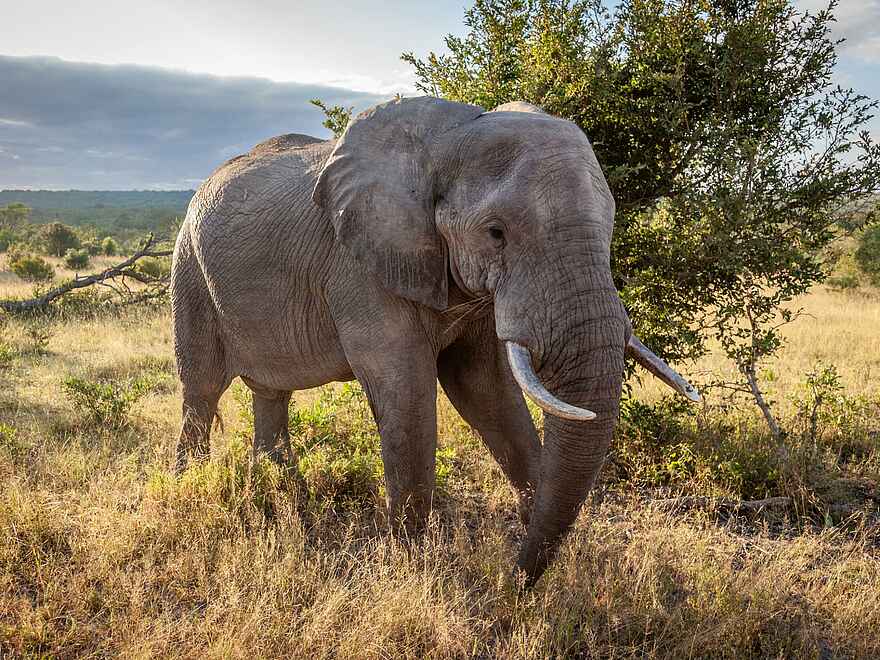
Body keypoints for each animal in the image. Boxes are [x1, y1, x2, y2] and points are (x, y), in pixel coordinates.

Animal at [170, 96, 700, 585]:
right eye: (496, 233)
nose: (512, 579)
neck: (448, 140)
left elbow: (484, 387)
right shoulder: (360, 267)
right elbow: (407, 392)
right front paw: (412, 569)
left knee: (270, 392)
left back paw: (284, 497)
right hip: (188, 270)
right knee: (201, 391)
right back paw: (187, 489)